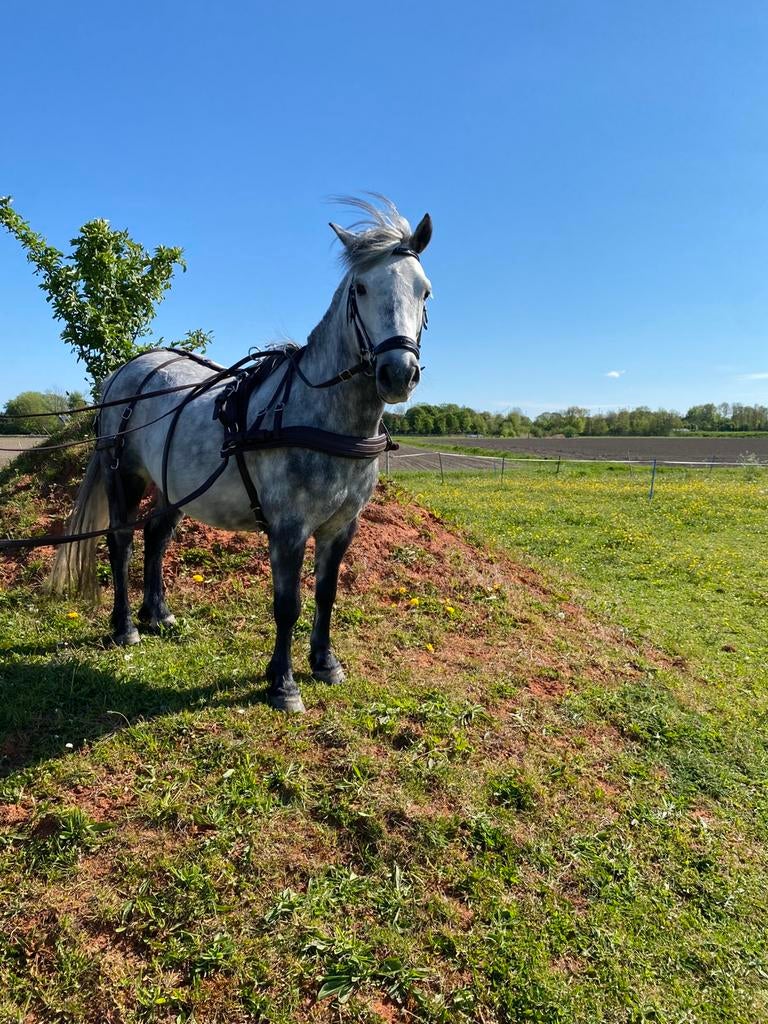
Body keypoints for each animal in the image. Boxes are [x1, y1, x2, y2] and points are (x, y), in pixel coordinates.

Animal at [50, 196, 433, 713]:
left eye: (424, 291)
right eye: (361, 287)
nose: (398, 374)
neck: (322, 417)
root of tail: (127, 371)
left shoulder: (341, 527)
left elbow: (326, 594)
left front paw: (325, 663)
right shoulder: (288, 528)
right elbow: (287, 604)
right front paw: (283, 684)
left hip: (175, 487)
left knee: (156, 535)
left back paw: (158, 614)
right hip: (122, 474)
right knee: (122, 541)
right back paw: (126, 626)